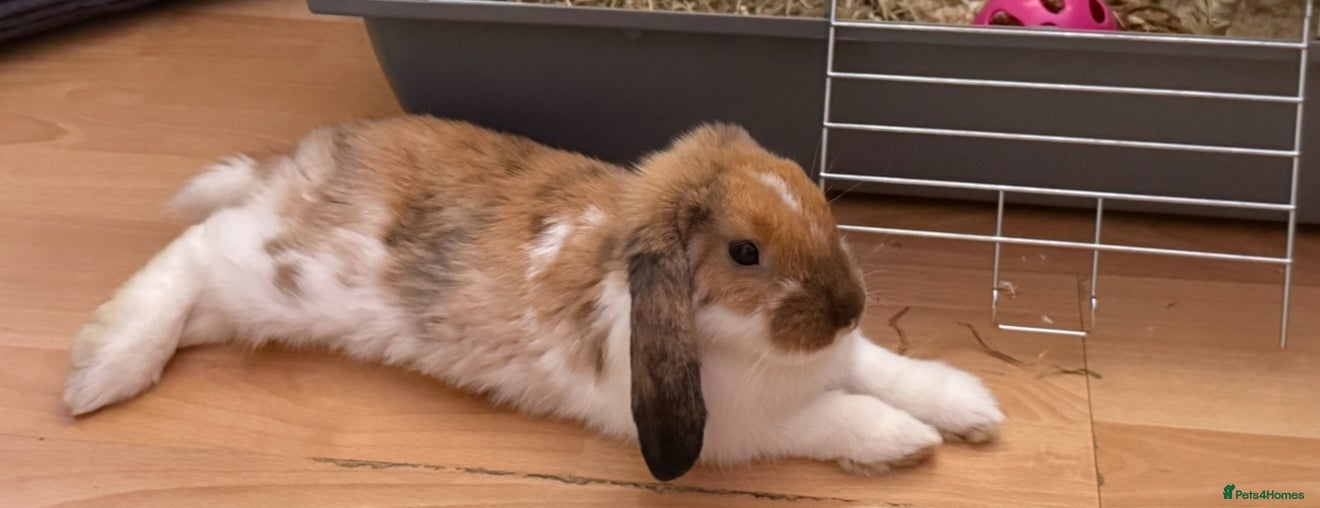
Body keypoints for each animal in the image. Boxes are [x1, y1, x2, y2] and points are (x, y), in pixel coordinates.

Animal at [62, 115, 1004, 481]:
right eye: (745, 252)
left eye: (816, 198)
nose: (847, 309)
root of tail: (301, 163)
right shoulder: (740, 429)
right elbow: (836, 415)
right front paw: (905, 442)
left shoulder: (843, 359)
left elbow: (889, 370)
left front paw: (973, 409)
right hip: (270, 271)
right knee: (194, 248)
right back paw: (101, 369)